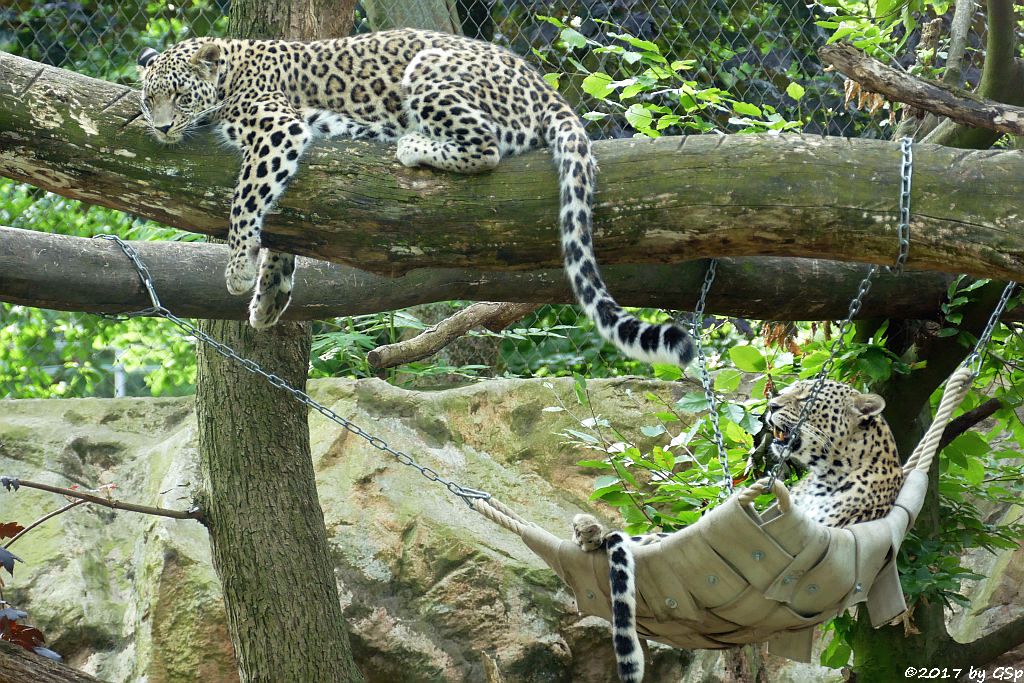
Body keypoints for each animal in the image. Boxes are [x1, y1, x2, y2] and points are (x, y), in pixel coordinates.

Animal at [136, 28, 696, 366]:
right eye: (148, 99)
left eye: (180, 96)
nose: (161, 128)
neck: (229, 73)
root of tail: (545, 88)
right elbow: (283, 226)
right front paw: (269, 296)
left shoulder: (278, 127)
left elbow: (247, 195)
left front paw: (236, 268)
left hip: (429, 70)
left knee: (487, 148)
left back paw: (412, 144)